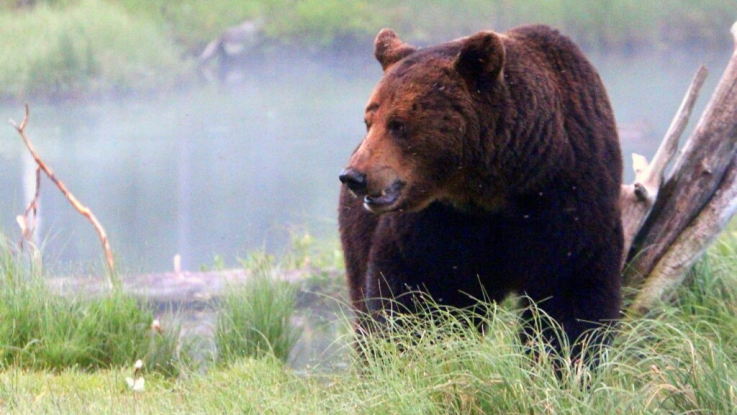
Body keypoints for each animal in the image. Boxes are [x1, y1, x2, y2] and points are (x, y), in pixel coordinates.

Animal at [338, 24, 620, 360]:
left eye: (398, 124)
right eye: (369, 120)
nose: (354, 176)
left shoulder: (571, 198)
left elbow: (570, 297)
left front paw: (562, 359)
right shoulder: (440, 222)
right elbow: (418, 296)